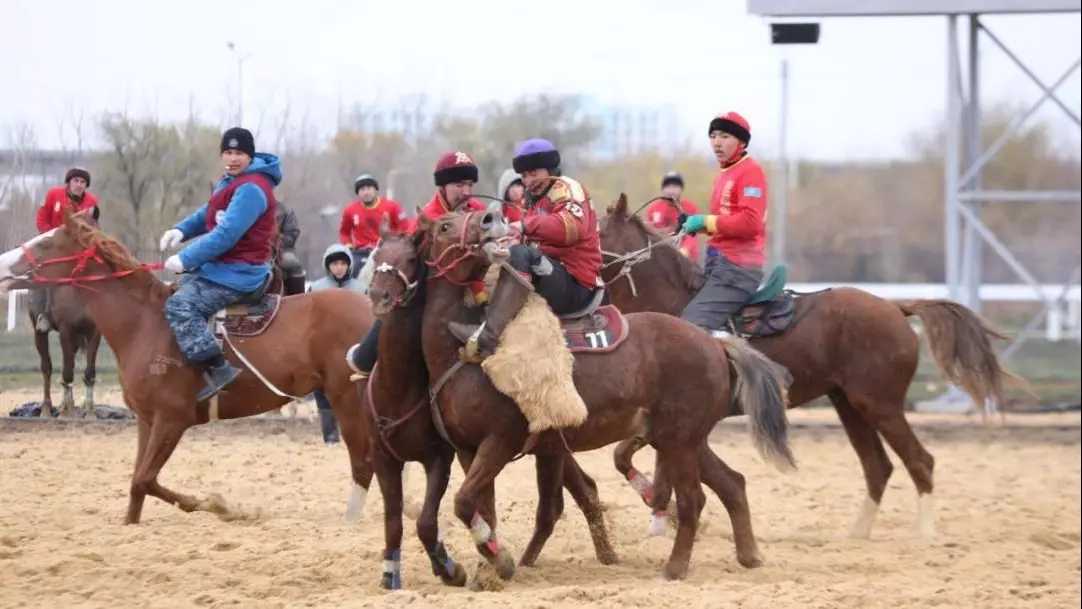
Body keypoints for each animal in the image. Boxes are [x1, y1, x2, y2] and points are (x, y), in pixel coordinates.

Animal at [0, 209, 376, 523]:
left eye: (46, 242)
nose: (3, 263)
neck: (146, 324)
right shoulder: (147, 421)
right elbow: (138, 484)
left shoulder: (172, 420)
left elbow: (145, 479)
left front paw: (215, 505)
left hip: (347, 399)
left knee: (363, 461)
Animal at [361, 224, 623, 592]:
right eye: (376, 256)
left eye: (411, 260)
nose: (380, 297)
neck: (400, 389)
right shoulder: (386, 457)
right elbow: (395, 521)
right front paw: (391, 573)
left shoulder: (445, 456)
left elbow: (431, 520)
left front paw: (453, 568)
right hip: (553, 445)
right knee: (581, 491)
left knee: (568, 498)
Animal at [400, 204, 796, 584]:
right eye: (444, 225)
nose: (489, 218)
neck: (457, 353)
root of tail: (716, 342)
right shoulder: (469, 451)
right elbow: (483, 509)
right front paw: (493, 567)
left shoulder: (500, 442)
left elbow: (465, 504)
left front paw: (500, 561)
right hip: (684, 439)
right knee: (732, 484)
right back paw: (749, 555)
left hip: (679, 442)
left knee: (692, 500)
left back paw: (675, 568)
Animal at [597, 194, 1017, 538]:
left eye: (597, 232)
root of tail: (896, 308)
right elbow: (627, 456)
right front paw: (657, 513)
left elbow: (643, 457)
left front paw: (658, 509)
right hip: (850, 404)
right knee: (878, 467)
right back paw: (856, 535)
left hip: (880, 405)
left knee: (919, 461)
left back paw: (925, 535)